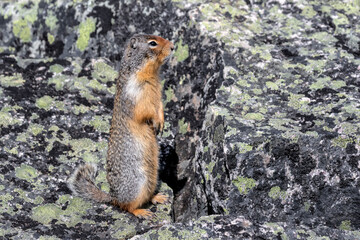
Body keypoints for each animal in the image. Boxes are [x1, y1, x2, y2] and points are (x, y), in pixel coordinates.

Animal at [68, 34, 174, 218]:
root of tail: (113, 196)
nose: (173, 46)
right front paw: (156, 121)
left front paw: (161, 122)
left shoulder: (158, 95)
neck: (150, 74)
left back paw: (159, 197)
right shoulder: (135, 95)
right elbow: (145, 111)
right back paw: (142, 212)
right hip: (138, 183)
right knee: (126, 206)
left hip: (152, 178)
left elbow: (160, 106)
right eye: (152, 43)